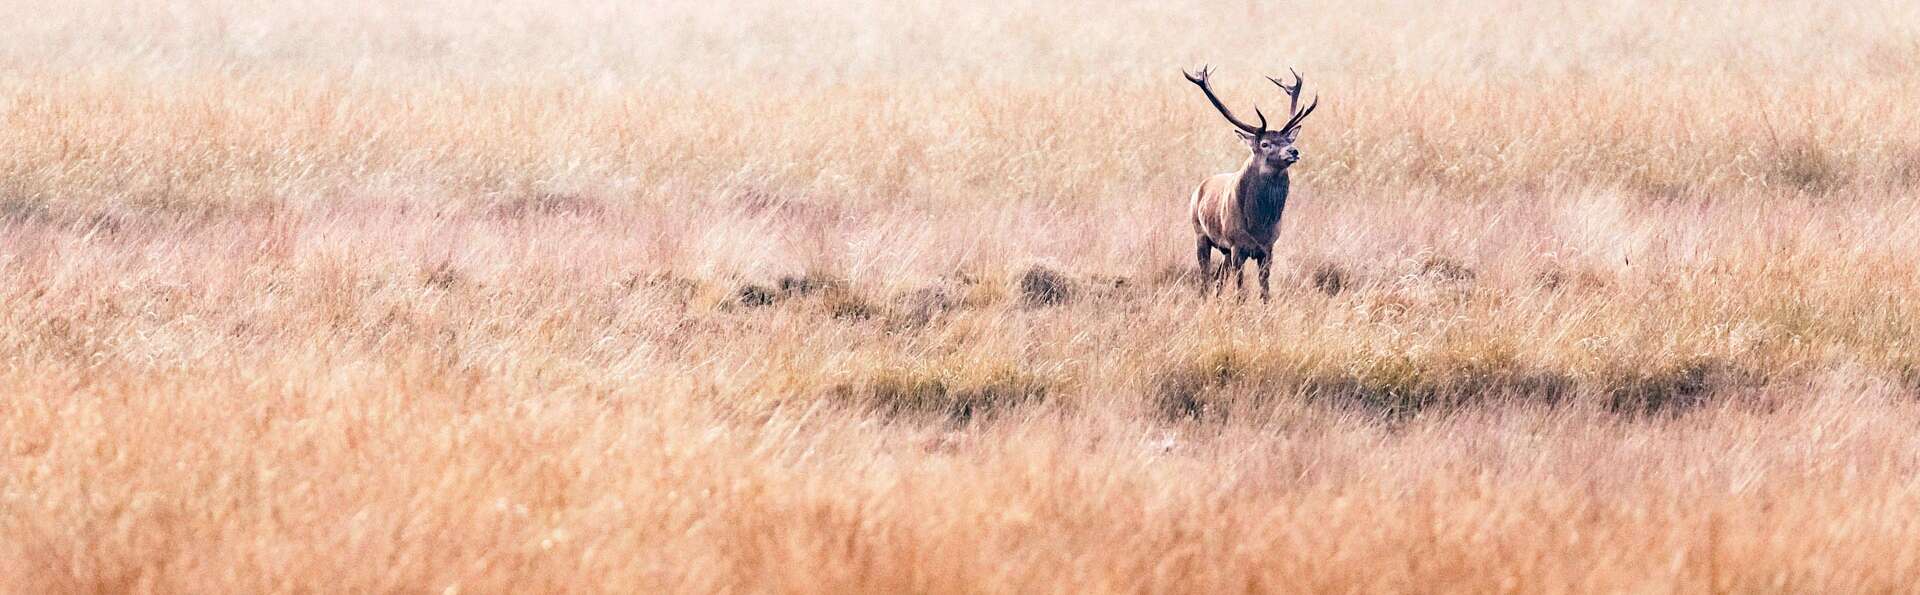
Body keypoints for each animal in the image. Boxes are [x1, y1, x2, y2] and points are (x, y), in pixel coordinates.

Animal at [1182, 65, 1320, 301]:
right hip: (1199, 233)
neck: (1258, 223)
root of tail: (1201, 186)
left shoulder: (1268, 248)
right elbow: (1240, 290)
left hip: (1224, 250)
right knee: (1205, 277)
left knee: (1218, 277)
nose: (1293, 151)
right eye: (1265, 144)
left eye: (1288, 140)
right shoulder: (1237, 244)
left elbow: (1265, 291)